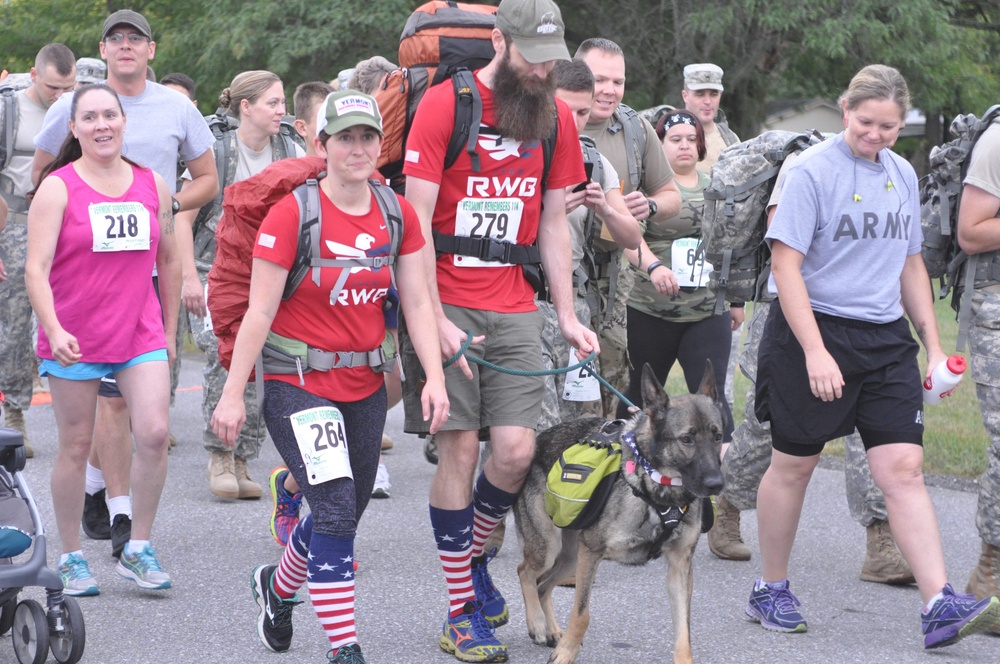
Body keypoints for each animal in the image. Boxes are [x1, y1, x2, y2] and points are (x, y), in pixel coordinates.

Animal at [516, 364, 720, 664]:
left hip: (570, 557)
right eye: (687, 439)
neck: (655, 489)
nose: (717, 484)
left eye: (718, 436)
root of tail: (538, 441)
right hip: (550, 548)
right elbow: (582, 614)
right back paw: (538, 624)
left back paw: (551, 629)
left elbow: (684, 631)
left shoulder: (680, 567)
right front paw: (566, 653)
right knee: (526, 574)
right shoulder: (592, 552)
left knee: (543, 585)